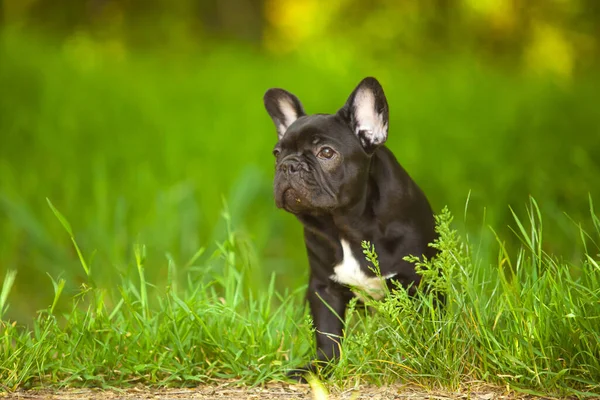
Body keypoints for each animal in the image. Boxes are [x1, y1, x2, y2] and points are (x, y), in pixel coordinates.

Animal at [262, 76, 436, 380]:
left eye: (326, 152)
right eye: (277, 154)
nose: (288, 165)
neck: (346, 225)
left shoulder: (415, 280)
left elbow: (421, 324)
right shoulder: (323, 286)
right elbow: (327, 332)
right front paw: (321, 367)